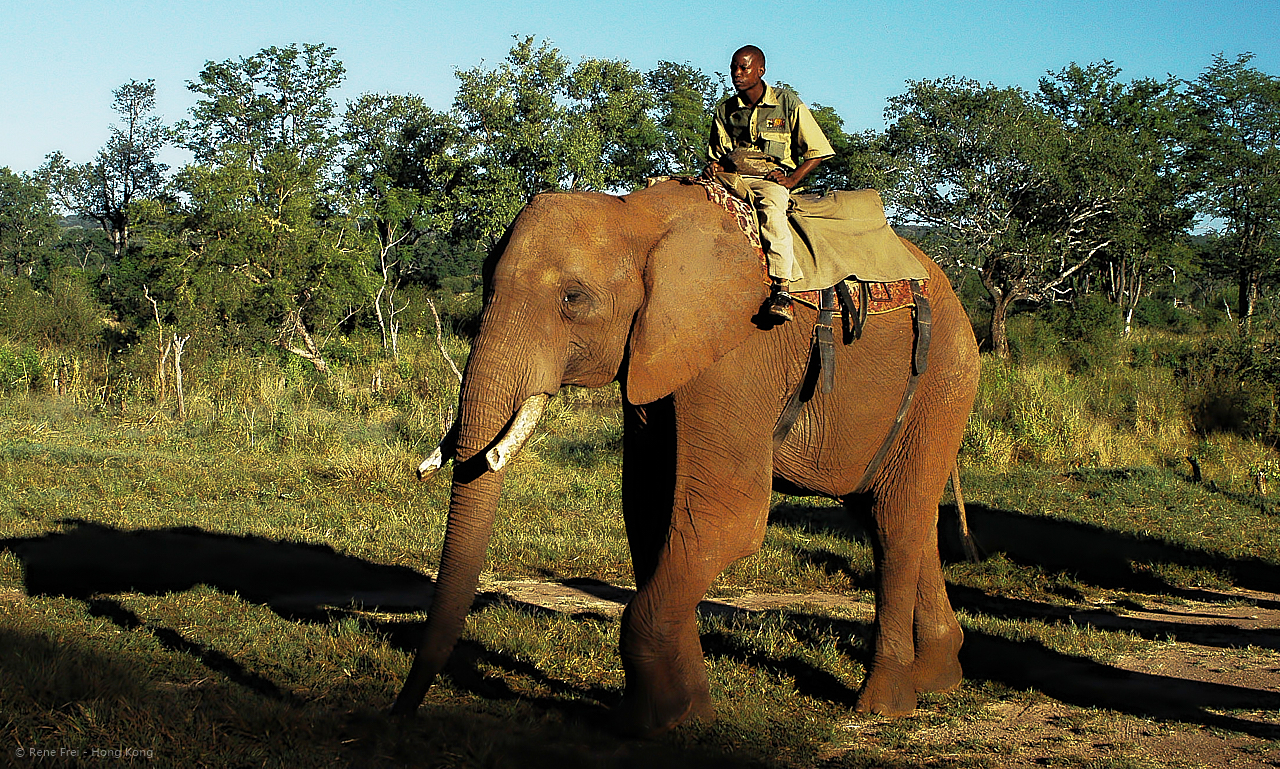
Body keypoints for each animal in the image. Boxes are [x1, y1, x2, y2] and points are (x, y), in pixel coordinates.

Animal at [394, 176, 983, 737]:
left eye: (573, 300)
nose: (400, 712)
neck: (639, 215)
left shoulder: (741, 349)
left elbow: (724, 519)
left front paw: (650, 724)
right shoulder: (653, 355)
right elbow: (651, 511)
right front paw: (688, 714)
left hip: (944, 376)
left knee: (895, 520)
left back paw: (884, 706)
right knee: (886, 511)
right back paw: (938, 679)